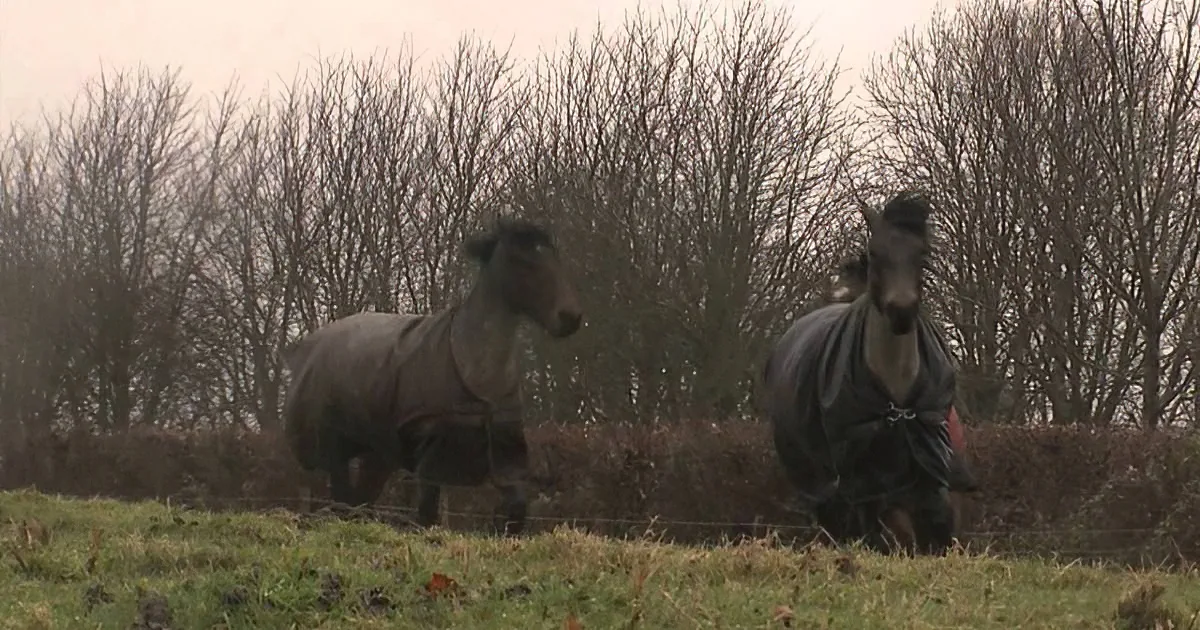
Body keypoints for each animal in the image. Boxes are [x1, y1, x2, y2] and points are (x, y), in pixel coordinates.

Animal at [281, 217, 583, 536]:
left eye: (554, 257)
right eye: (522, 260)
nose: (570, 317)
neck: (475, 368)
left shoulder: (505, 457)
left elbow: (515, 512)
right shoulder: (433, 457)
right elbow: (425, 515)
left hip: (377, 457)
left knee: (358, 504)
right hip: (336, 453)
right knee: (344, 503)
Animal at [762, 192, 960, 556]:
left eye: (922, 253)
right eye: (875, 253)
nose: (901, 311)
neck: (897, 403)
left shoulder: (927, 475)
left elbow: (934, 532)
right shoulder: (863, 481)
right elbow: (875, 536)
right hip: (816, 478)